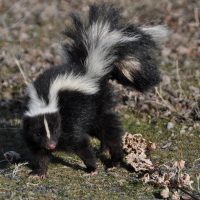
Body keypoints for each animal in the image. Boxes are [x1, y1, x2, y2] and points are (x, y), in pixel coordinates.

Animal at [21, 3, 167, 177]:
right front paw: (39, 172)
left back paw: (114, 160)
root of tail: (91, 69)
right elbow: (39, 152)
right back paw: (103, 150)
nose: (51, 145)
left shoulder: (69, 120)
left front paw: (92, 168)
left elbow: (80, 142)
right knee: (101, 130)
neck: (45, 99)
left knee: (109, 130)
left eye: (56, 129)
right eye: (38, 132)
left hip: (97, 105)